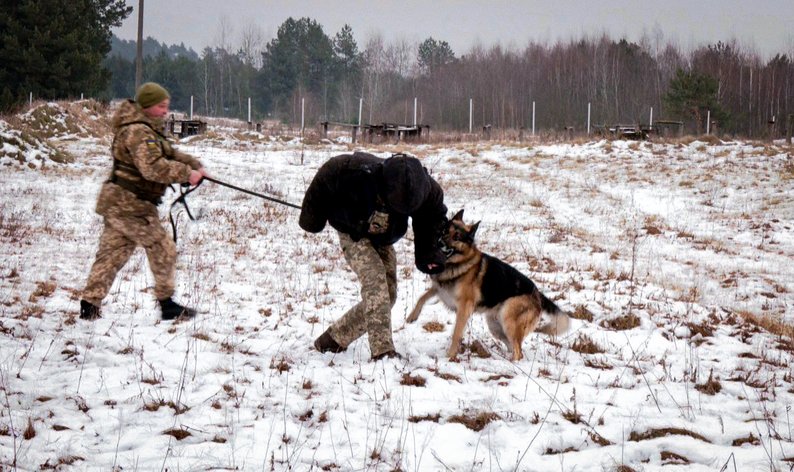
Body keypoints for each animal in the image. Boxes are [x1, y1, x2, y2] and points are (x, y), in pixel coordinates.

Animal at [406, 210, 568, 362]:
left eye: (457, 237)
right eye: (445, 231)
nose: (439, 243)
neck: (458, 262)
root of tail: (537, 293)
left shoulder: (464, 309)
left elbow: (456, 334)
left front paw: (450, 356)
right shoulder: (439, 289)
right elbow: (422, 297)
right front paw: (412, 316)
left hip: (508, 322)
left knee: (518, 352)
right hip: (496, 327)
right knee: (513, 347)